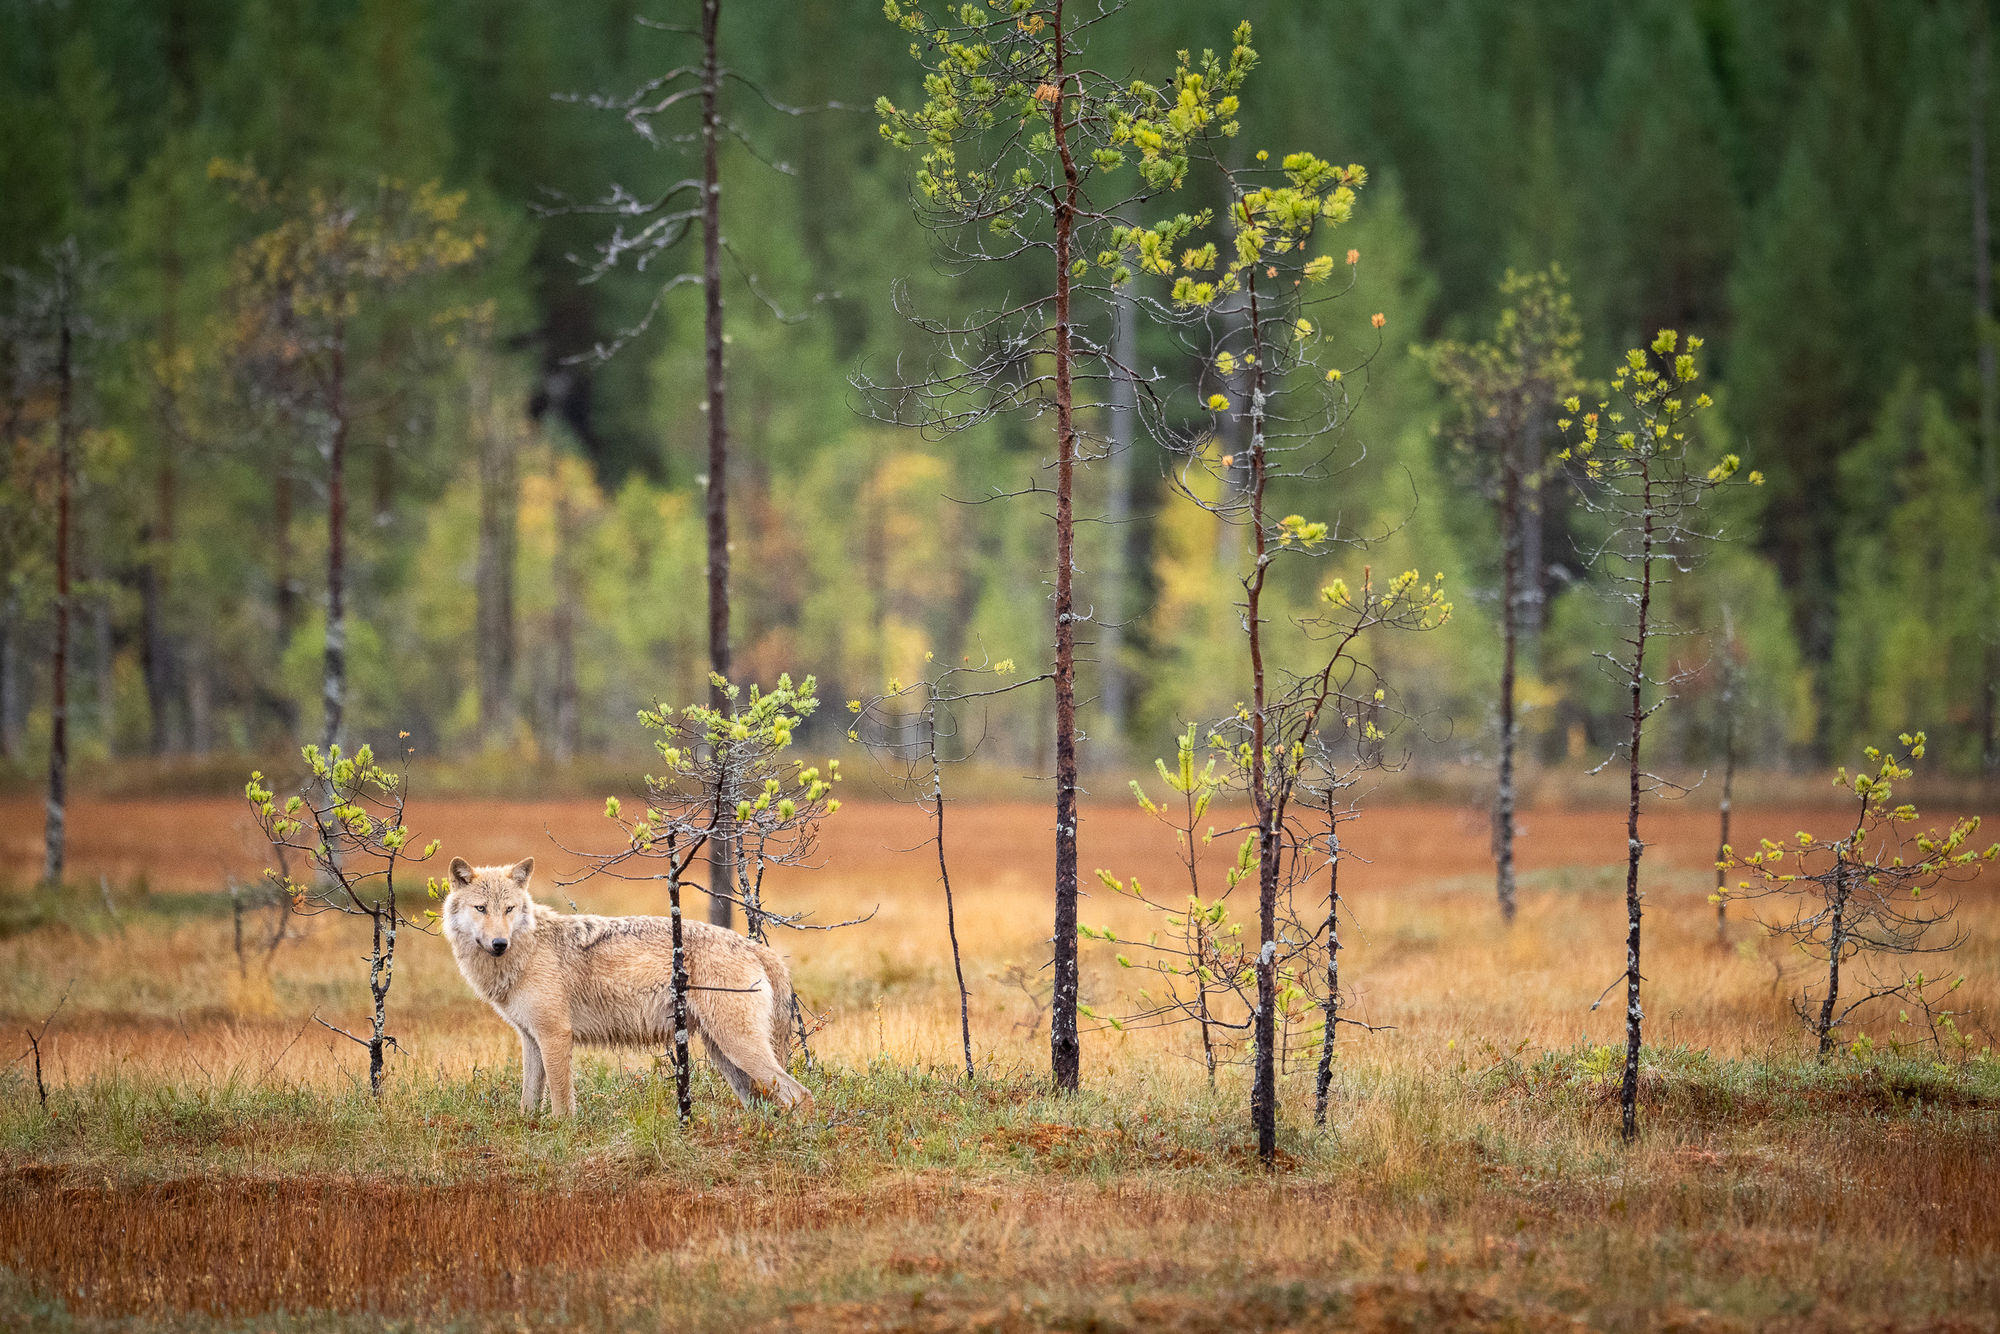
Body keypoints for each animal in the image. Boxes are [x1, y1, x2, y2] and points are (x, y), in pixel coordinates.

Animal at [442, 857, 810, 1115]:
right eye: (481, 908)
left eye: (509, 909)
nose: (499, 943)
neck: (526, 951)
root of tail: (756, 947)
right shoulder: (532, 1039)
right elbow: (528, 1104)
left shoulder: (556, 1035)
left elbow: (561, 1104)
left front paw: (564, 1137)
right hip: (726, 1057)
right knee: (763, 1103)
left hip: (739, 1049)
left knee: (801, 1095)